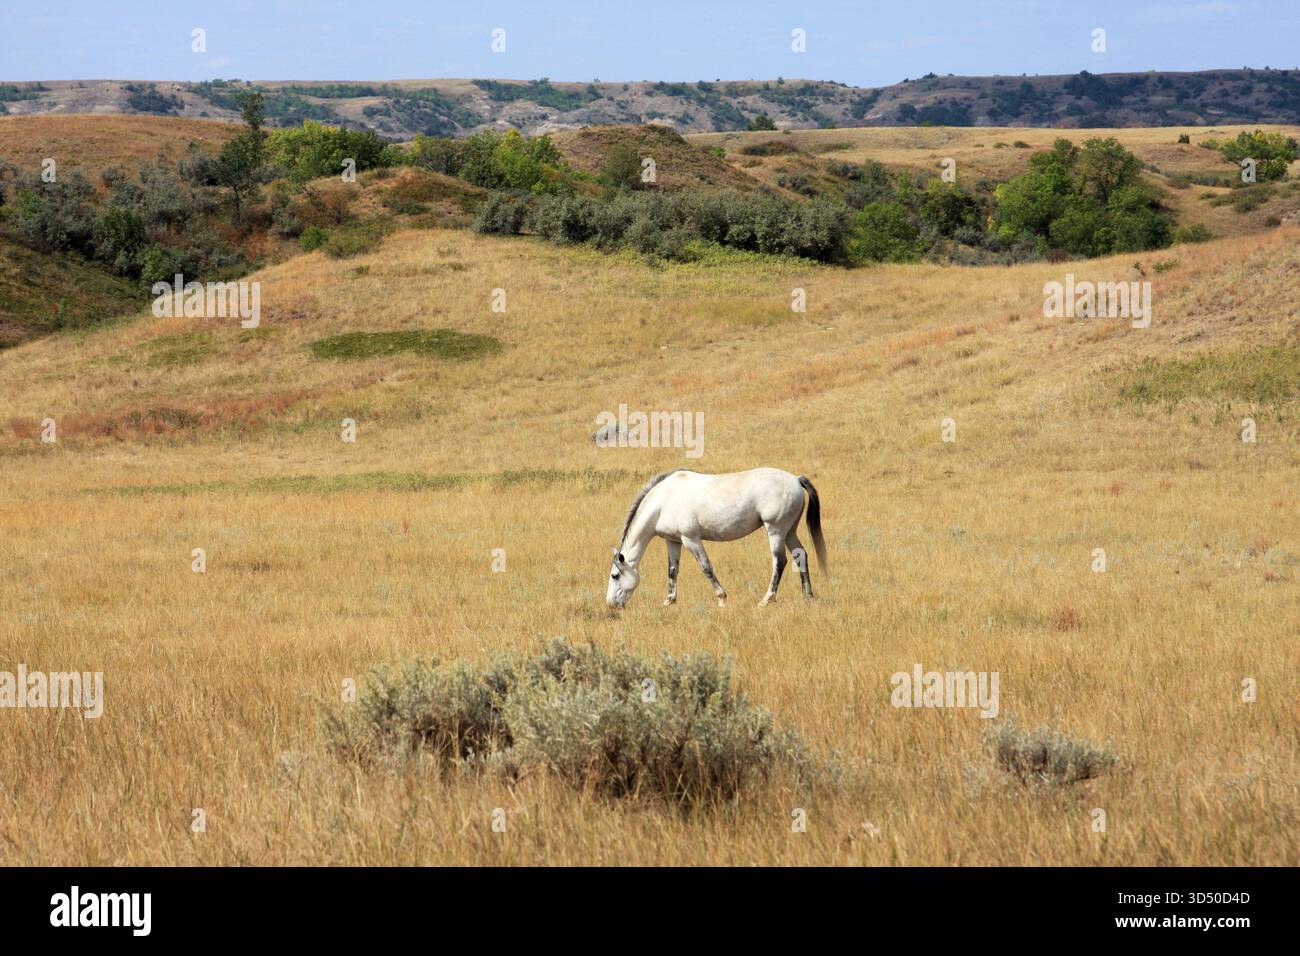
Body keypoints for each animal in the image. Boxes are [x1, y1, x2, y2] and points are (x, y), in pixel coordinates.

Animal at [606, 468, 827, 609]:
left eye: (615, 576)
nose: (611, 605)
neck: (664, 501)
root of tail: (796, 479)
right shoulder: (673, 541)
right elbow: (672, 571)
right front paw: (669, 601)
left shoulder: (690, 539)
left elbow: (706, 568)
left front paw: (722, 599)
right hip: (789, 531)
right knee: (801, 555)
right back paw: (808, 596)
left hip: (776, 530)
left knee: (780, 562)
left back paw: (766, 600)